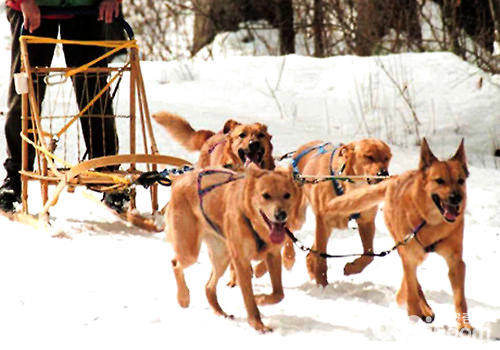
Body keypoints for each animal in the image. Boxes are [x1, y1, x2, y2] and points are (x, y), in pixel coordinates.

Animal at [167, 165, 300, 334]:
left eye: (287, 195)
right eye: (266, 195)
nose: (281, 214)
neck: (252, 222)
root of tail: (180, 178)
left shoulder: (273, 255)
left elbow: (279, 294)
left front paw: (260, 299)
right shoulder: (241, 261)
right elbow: (249, 298)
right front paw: (258, 324)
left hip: (222, 256)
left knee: (208, 287)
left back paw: (220, 312)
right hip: (190, 252)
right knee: (175, 263)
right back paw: (183, 297)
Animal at [292, 138, 392, 286]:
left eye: (387, 158)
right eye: (369, 156)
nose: (383, 173)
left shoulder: (366, 221)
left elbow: (369, 255)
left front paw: (352, 268)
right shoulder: (323, 220)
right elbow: (321, 258)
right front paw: (323, 285)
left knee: (311, 253)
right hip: (298, 216)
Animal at [324, 139, 472, 334]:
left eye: (460, 181)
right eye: (439, 181)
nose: (457, 198)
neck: (430, 221)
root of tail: (395, 178)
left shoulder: (455, 262)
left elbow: (460, 298)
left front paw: (464, 325)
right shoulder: (409, 253)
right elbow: (412, 288)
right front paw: (414, 315)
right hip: (405, 246)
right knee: (412, 281)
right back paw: (421, 308)